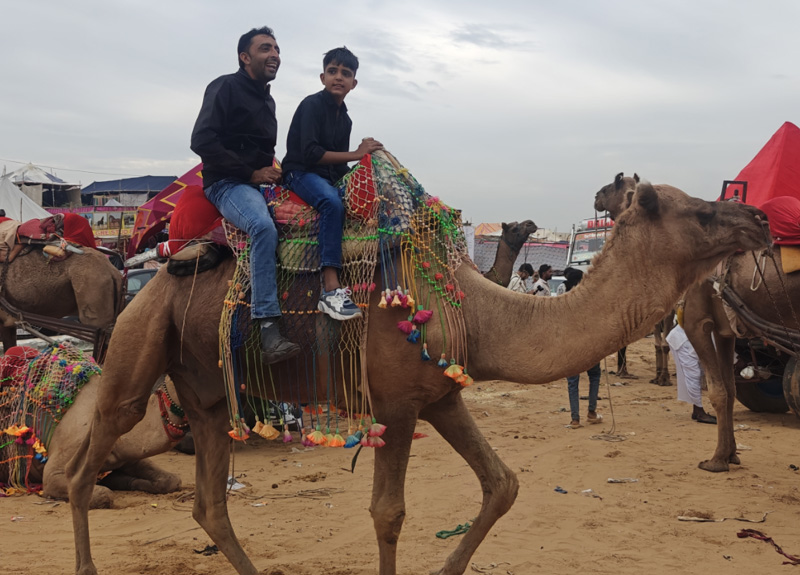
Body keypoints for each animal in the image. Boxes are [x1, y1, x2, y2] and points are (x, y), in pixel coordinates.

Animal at [66, 178, 768, 575]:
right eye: (702, 214)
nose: (759, 218)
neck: (479, 312)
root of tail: (155, 268)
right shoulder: (397, 406)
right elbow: (388, 514)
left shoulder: (441, 398)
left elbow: (503, 485)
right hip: (139, 344)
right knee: (89, 458)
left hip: (207, 389)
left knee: (209, 503)